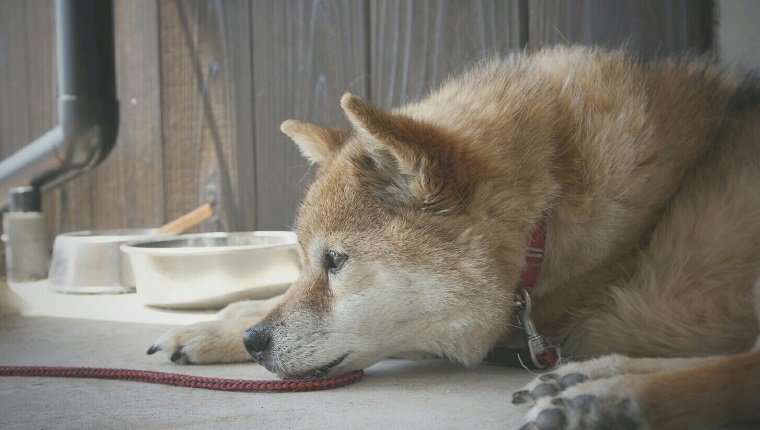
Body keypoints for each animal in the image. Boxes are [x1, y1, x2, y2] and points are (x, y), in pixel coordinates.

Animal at [148, 47, 760, 430]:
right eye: (303, 260)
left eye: (336, 261)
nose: (255, 343)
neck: (549, 207)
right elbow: (266, 297)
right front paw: (216, 324)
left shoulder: (512, 328)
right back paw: (593, 373)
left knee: (741, 371)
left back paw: (609, 398)